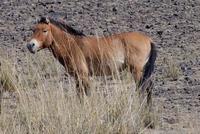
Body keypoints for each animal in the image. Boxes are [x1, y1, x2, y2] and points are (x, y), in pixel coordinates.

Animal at [25, 16, 156, 105]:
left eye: (44, 30)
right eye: (33, 29)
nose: (30, 45)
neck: (72, 45)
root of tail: (148, 39)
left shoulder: (83, 75)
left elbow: (86, 93)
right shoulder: (78, 77)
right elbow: (80, 94)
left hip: (136, 71)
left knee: (142, 88)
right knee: (148, 87)